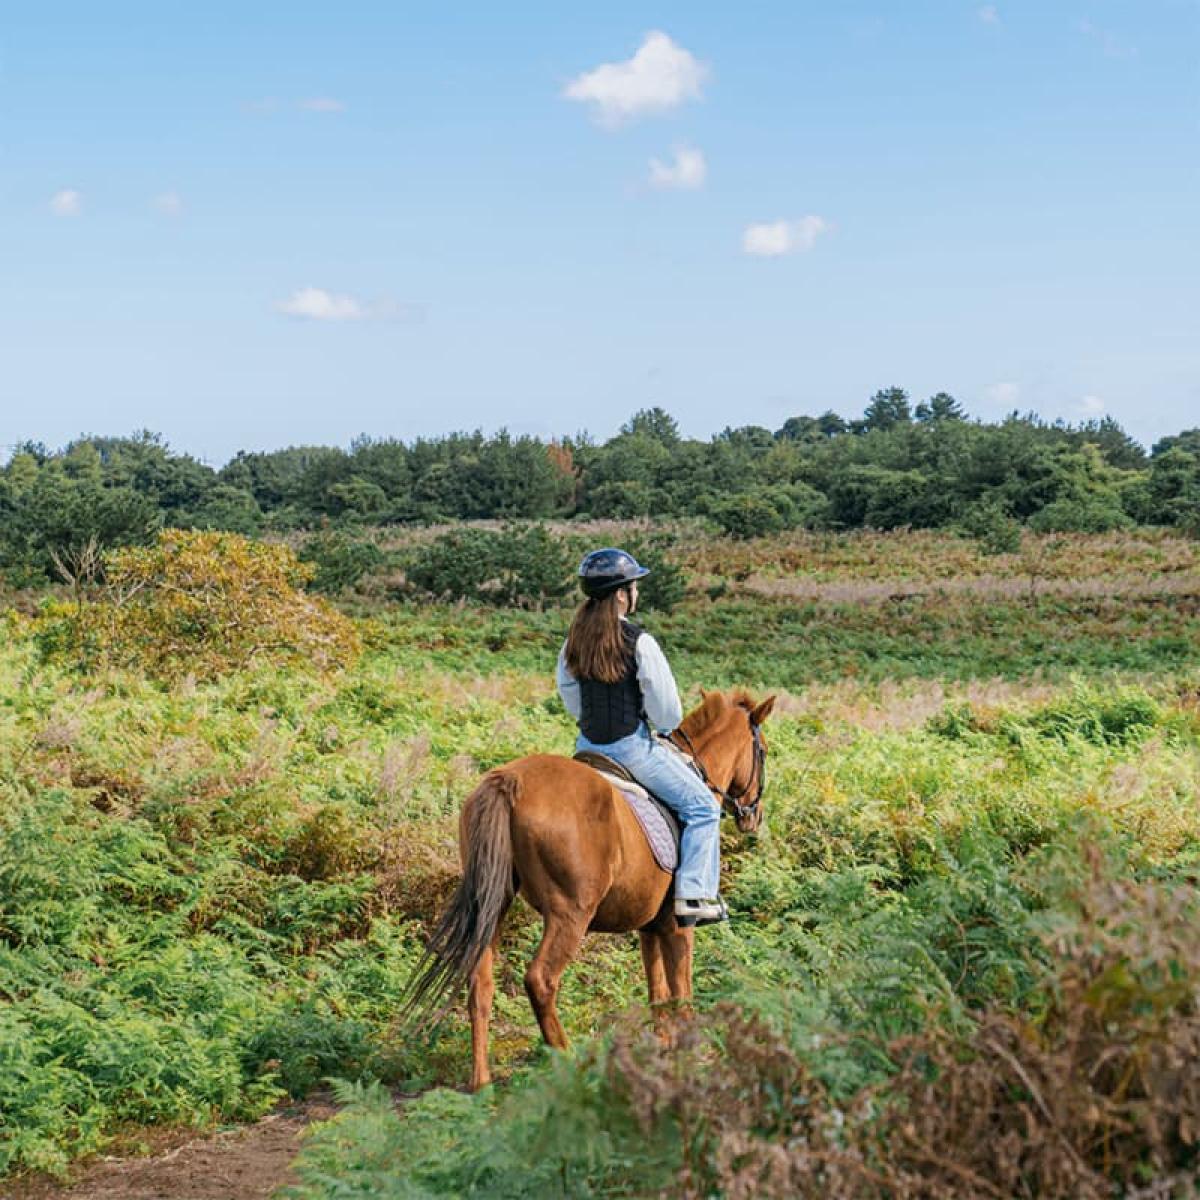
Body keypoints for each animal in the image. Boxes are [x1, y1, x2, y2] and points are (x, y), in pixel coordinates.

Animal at [403, 686, 777, 1089]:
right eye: (763, 750)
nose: (754, 816)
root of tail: (509, 780)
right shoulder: (679, 925)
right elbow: (682, 996)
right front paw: (692, 1062)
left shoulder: (652, 927)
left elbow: (658, 994)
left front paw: (665, 1056)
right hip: (571, 913)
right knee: (541, 981)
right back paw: (570, 1063)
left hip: (493, 904)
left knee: (479, 983)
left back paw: (482, 1082)